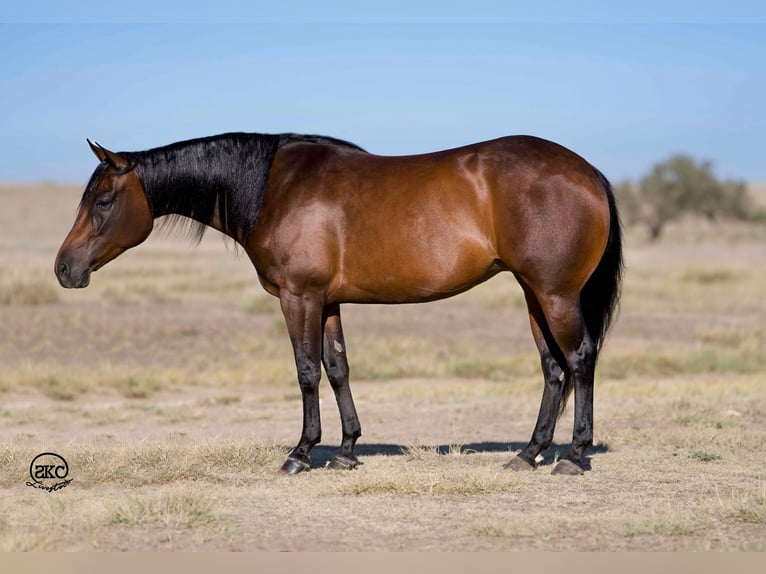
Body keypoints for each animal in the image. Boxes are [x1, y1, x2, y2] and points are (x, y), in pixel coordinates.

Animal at [58, 134, 624, 476]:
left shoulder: (299, 297)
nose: (65, 268)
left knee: (580, 360)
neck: (273, 188)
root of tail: (588, 171)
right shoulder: (327, 302)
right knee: (553, 369)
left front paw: (301, 452)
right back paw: (528, 454)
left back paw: (574, 455)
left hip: (555, 295)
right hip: (533, 294)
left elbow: (306, 371)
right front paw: (348, 450)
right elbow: (337, 369)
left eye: (103, 201)